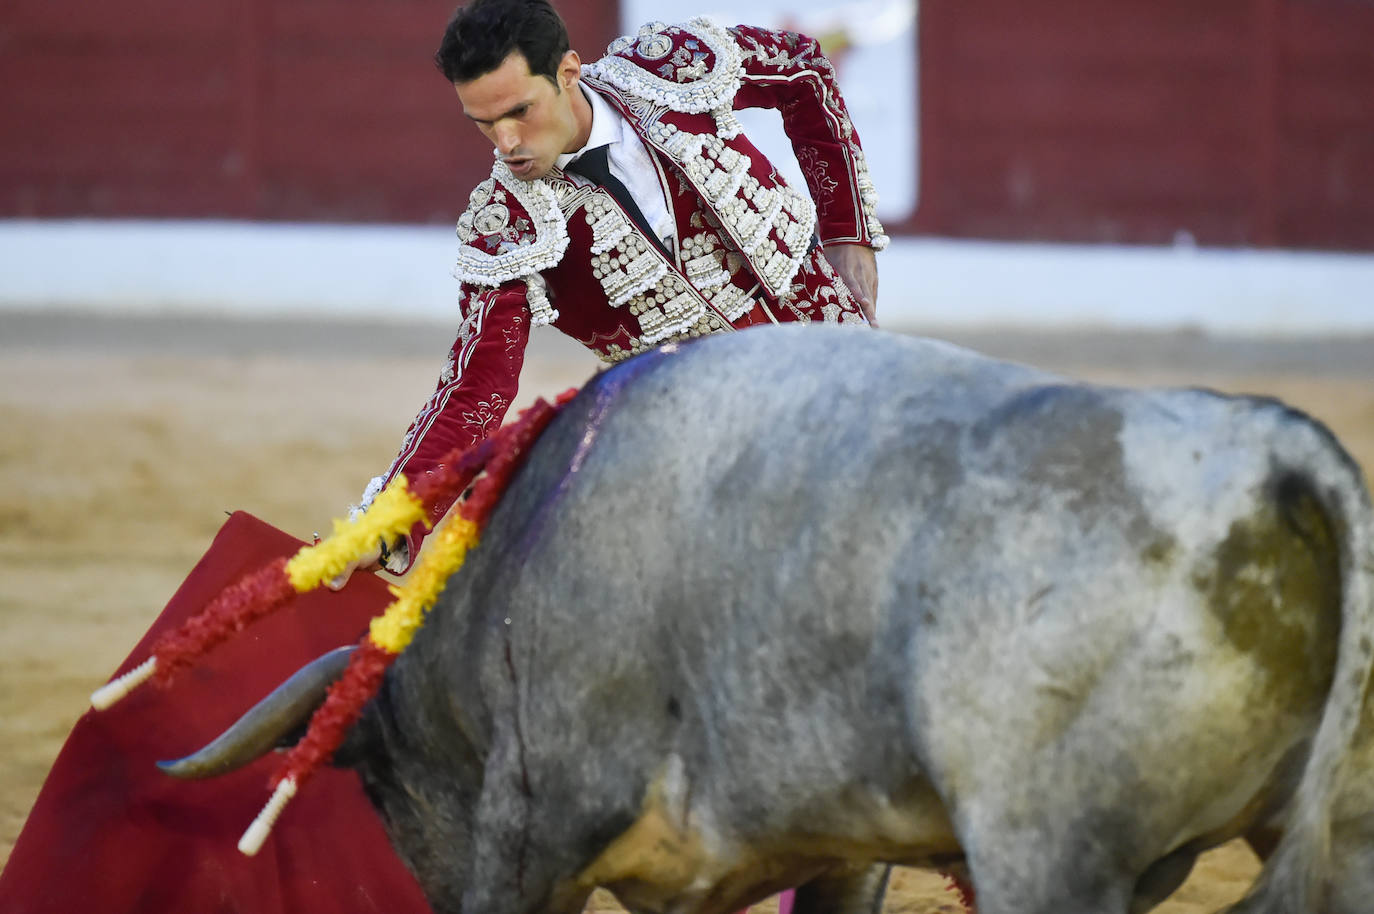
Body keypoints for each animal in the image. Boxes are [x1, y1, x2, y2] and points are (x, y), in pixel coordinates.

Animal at [160, 324, 1374, 912]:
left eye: (368, 783)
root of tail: (1279, 451)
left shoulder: (533, 830)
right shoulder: (838, 853)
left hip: (1050, 855)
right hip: (1335, 835)